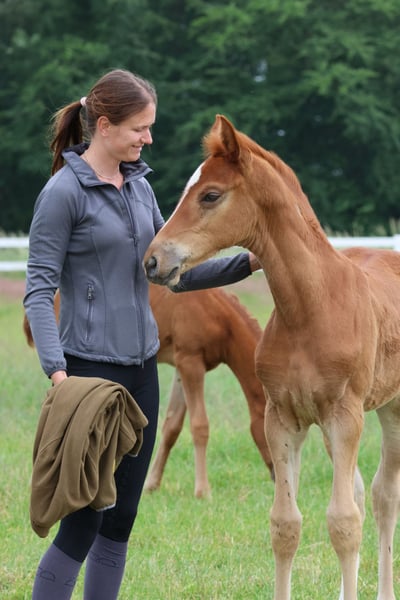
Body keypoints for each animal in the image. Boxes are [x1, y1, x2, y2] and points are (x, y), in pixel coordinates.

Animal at [23, 283, 273, 499]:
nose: (276, 476)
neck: (217, 315)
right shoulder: (191, 362)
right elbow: (199, 425)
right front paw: (203, 491)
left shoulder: (182, 368)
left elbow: (172, 426)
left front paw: (151, 484)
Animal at [143, 114, 400, 599]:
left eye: (210, 195)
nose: (152, 260)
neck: (310, 307)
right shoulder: (283, 418)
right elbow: (286, 524)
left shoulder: (344, 415)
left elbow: (343, 523)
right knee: (360, 491)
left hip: (391, 408)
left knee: (382, 496)